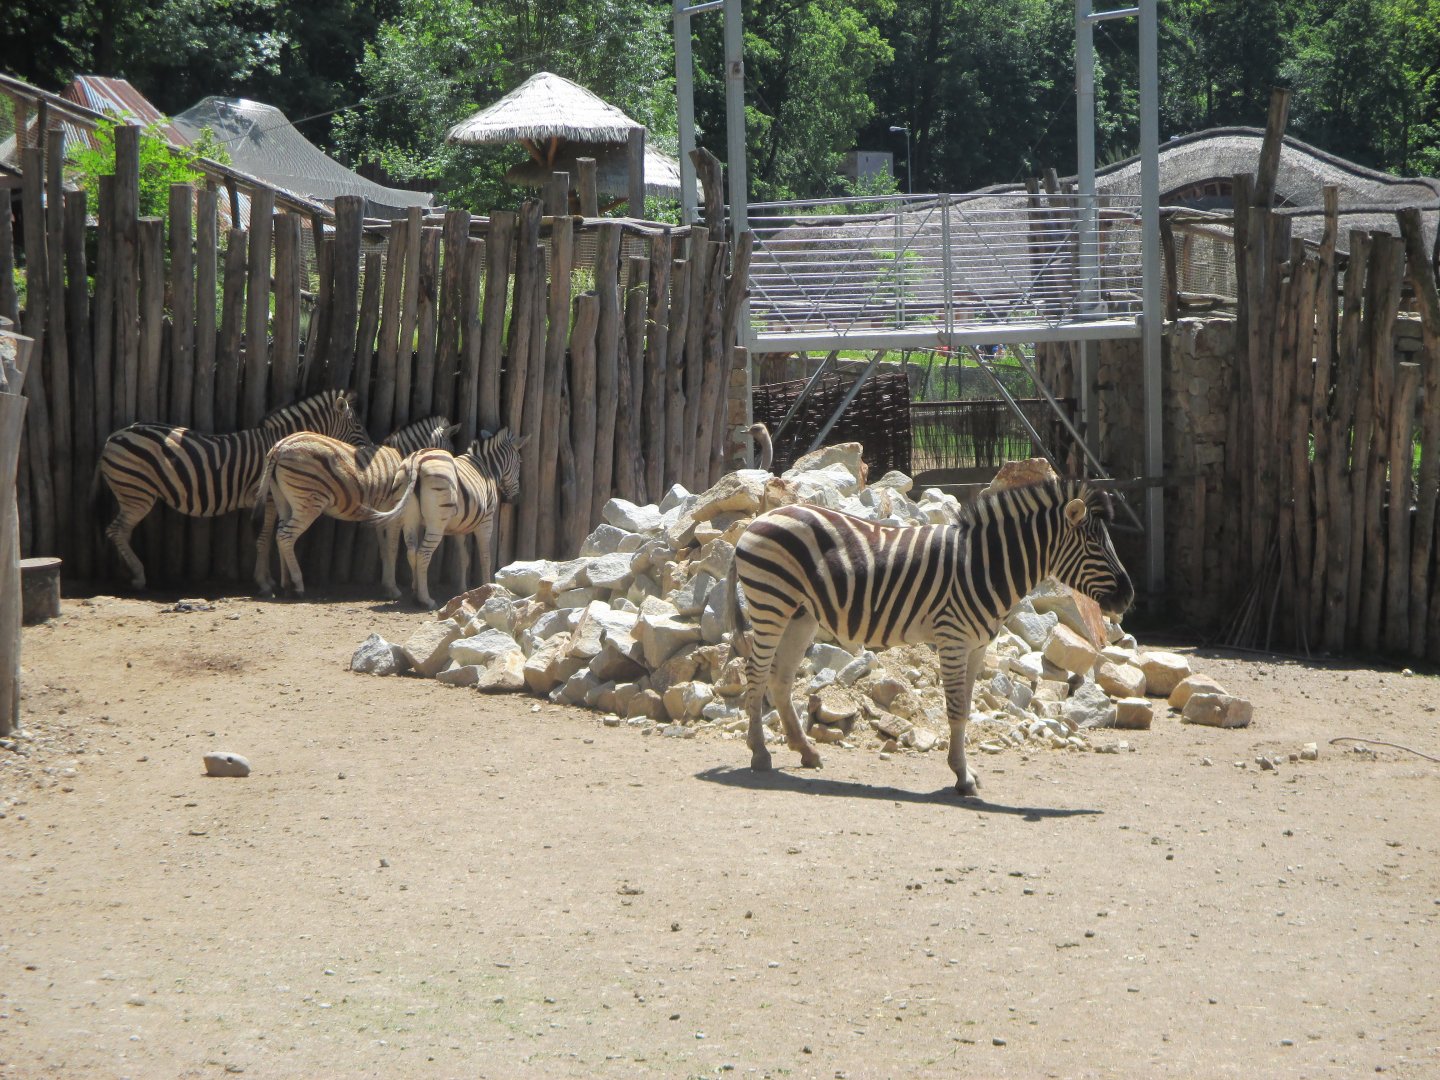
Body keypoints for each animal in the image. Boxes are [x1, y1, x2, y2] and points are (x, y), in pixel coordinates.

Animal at [93, 389, 369, 590]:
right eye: (358, 427)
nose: (370, 448)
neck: (279, 443)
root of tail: (114, 436)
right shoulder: (267, 497)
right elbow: (264, 538)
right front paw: (264, 582)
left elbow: (268, 537)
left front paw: (268, 579)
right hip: (136, 493)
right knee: (116, 530)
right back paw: (139, 576)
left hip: (132, 492)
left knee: (121, 532)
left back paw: (128, 571)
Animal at [251, 416, 459, 597]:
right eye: (450, 450)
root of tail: (280, 446)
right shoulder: (395, 513)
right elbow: (392, 548)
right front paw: (393, 589)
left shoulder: (382, 516)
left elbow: (384, 550)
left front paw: (387, 586)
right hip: (309, 502)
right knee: (285, 536)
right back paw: (297, 584)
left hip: (282, 499)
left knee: (279, 534)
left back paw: (286, 584)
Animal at [380, 428, 529, 608]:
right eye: (520, 462)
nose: (516, 499)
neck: (487, 468)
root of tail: (416, 460)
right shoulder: (486, 522)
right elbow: (485, 557)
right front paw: (488, 587)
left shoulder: (461, 526)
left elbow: (463, 557)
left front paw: (462, 590)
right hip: (436, 522)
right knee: (423, 554)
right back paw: (426, 599)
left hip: (410, 518)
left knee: (412, 552)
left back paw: (416, 592)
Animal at [724, 477, 1134, 797]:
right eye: (1095, 546)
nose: (1128, 597)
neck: (985, 566)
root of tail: (761, 518)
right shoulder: (953, 639)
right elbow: (954, 710)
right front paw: (962, 777)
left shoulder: (977, 646)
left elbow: (966, 708)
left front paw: (965, 772)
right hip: (771, 603)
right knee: (756, 674)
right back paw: (760, 753)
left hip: (801, 615)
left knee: (779, 678)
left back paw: (806, 752)